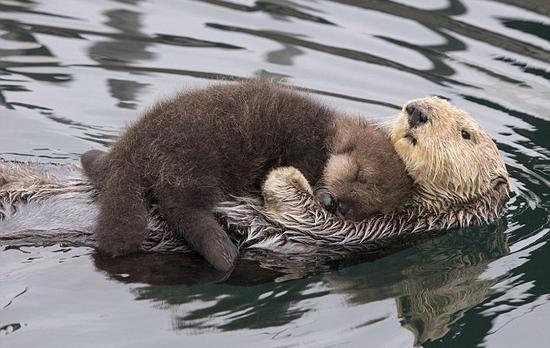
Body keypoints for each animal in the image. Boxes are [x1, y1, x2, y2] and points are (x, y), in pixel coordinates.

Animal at [80, 79, 412, 272]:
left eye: (368, 207)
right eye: (359, 175)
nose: (343, 206)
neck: (328, 131)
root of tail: (132, 152)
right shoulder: (306, 143)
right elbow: (307, 166)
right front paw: (323, 194)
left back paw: (91, 159)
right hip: (192, 162)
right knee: (182, 208)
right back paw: (222, 252)